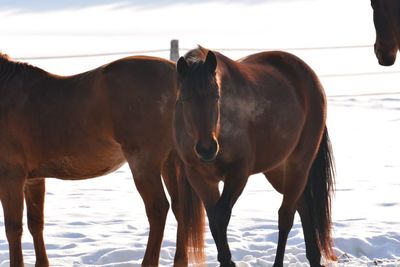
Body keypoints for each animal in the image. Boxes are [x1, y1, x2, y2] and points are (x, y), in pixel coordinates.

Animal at [0, 54, 205, 267]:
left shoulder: (10, 178)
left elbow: (13, 228)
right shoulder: (33, 180)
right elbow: (35, 224)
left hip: (144, 164)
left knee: (158, 209)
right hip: (169, 163)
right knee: (180, 208)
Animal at [173, 46, 336, 267]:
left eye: (216, 96)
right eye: (184, 98)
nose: (207, 149)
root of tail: (310, 77)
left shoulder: (239, 172)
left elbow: (220, 216)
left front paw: (228, 261)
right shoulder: (199, 177)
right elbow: (213, 219)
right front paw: (225, 260)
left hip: (299, 163)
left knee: (286, 215)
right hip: (277, 169)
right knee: (302, 205)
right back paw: (313, 257)